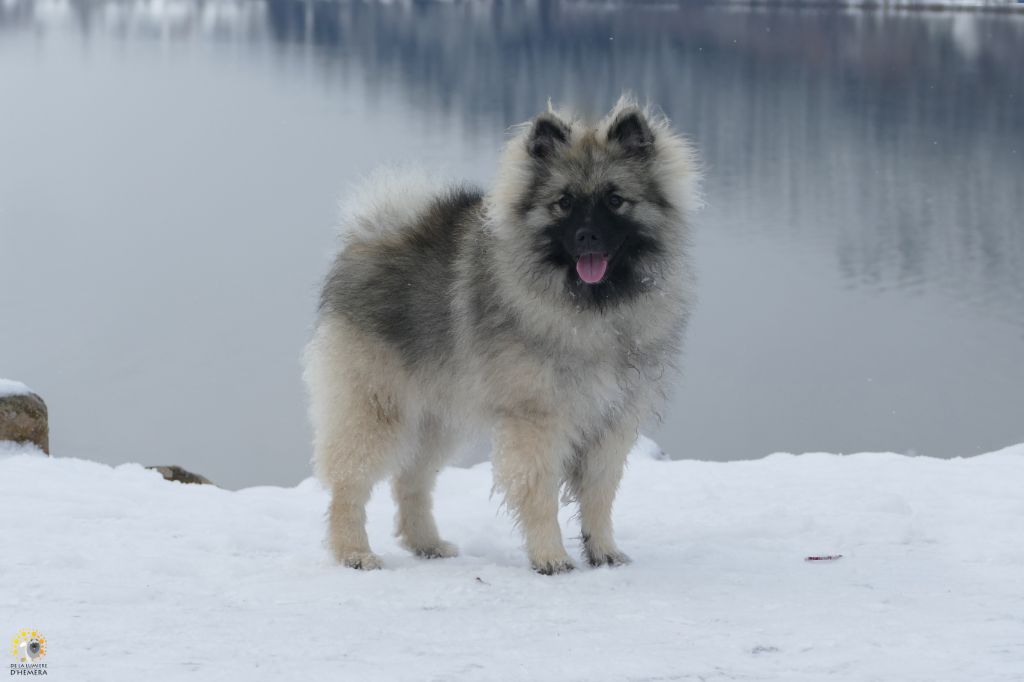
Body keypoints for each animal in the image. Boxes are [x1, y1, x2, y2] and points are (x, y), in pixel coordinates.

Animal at [303, 96, 700, 573]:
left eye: (615, 200)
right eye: (564, 202)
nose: (587, 236)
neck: (591, 309)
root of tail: (377, 232)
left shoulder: (611, 421)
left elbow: (599, 495)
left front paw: (603, 551)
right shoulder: (538, 419)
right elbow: (540, 493)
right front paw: (550, 557)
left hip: (436, 416)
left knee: (411, 481)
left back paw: (427, 544)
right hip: (376, 408)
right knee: (350, 482)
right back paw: (354, 552)